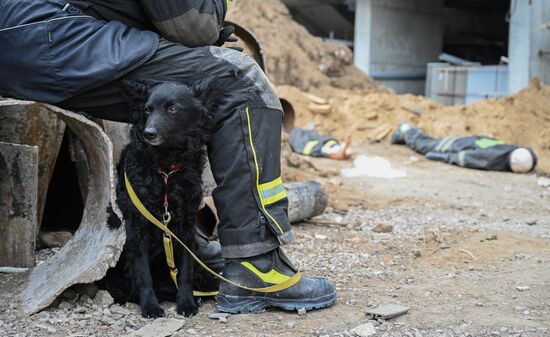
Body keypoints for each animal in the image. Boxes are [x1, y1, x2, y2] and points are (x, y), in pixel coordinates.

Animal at [103, 80, 213, 316]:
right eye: (147, 109)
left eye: (172, 108)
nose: (149, 133)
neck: (166, 171)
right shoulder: (137, 229)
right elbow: (143, 273)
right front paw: (150, 306)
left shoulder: (187, 227)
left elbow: (186, 271)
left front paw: (186, 302)